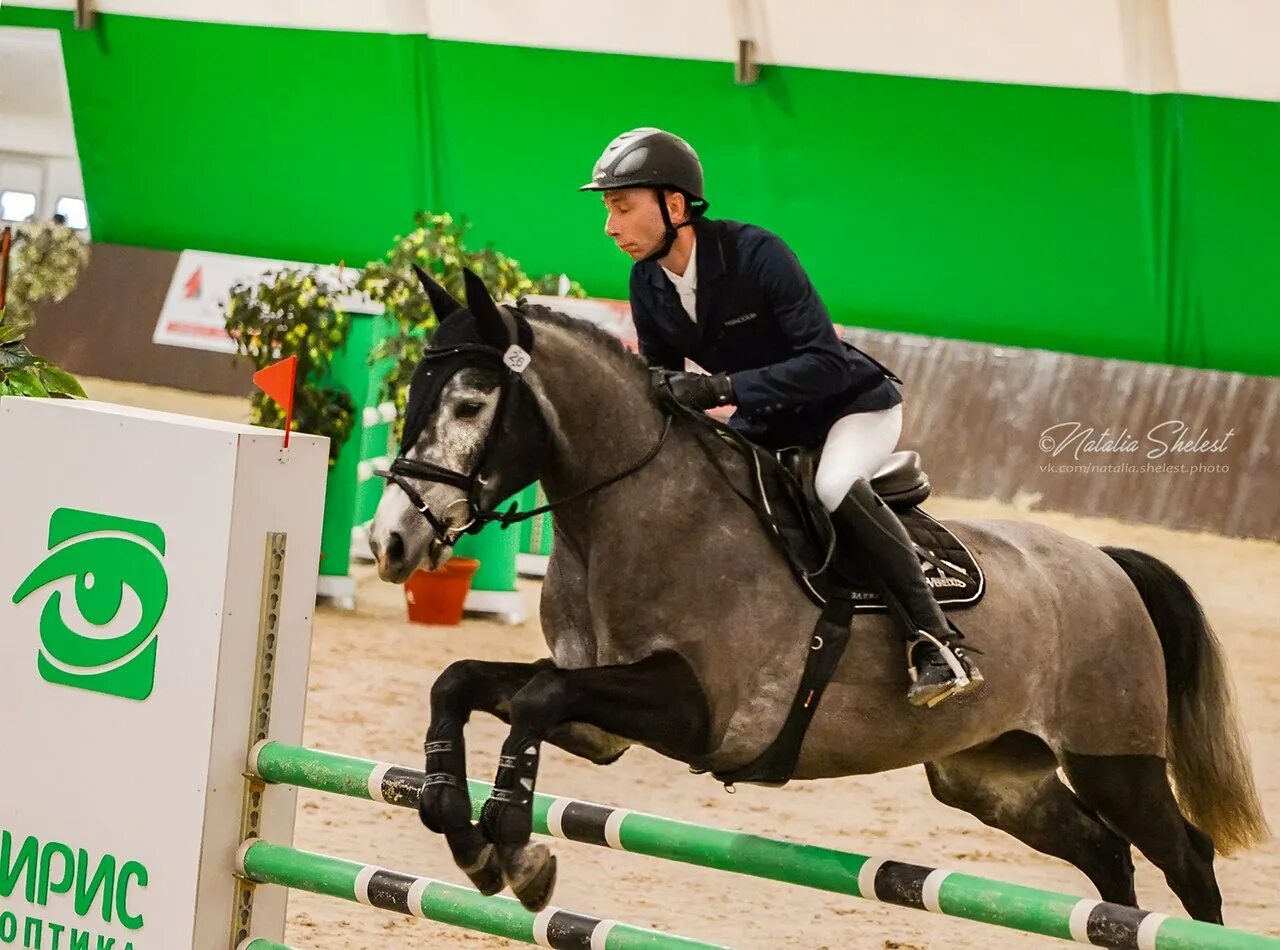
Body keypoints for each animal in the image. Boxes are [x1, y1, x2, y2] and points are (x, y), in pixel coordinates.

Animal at [371, 271, 1269, 926]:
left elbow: (537, 697)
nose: (392, 542)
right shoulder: (599, 726)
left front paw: (515, 848)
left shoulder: (697, 711)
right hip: (995, 777)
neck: (629, 514)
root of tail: (1107, 562)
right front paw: (460, 822)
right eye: (412, 395)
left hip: (1115, 760)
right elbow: (466, 681)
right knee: (1105, 855)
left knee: (1184, 855)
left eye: (469, 403)